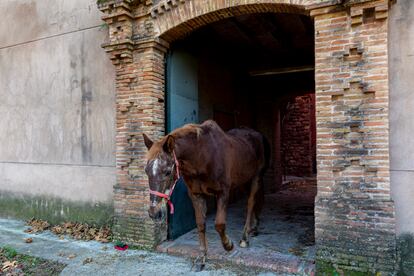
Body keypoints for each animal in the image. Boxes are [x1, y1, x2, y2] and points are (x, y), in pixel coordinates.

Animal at [144, 119, 270, 270]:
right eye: (146, 171)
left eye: (168, 172)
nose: (154, 213)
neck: (203, 157)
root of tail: (258, 135)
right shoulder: (196, 195)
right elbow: (200, 224)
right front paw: (202, 257)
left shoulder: (223, 193)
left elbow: (219, 224)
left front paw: (228, 245)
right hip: (244, 180)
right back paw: (254, 227)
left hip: (256, 177)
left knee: (251, 202)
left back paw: (245, 237)